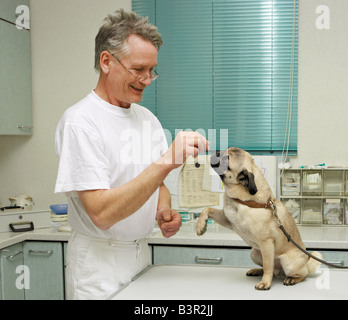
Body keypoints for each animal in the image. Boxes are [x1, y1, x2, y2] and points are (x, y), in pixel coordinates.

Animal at [197, 148, 322, 290]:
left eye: (226, 160)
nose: (216, 152)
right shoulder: (228, 219)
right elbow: (207, 209)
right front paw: (201, 226)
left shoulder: (266, 243)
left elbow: (268, 267)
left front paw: (265, 283)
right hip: (255, 254)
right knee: (271, 270)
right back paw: (256, 271)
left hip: (288, 263)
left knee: (299, 274)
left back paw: (291, 279)